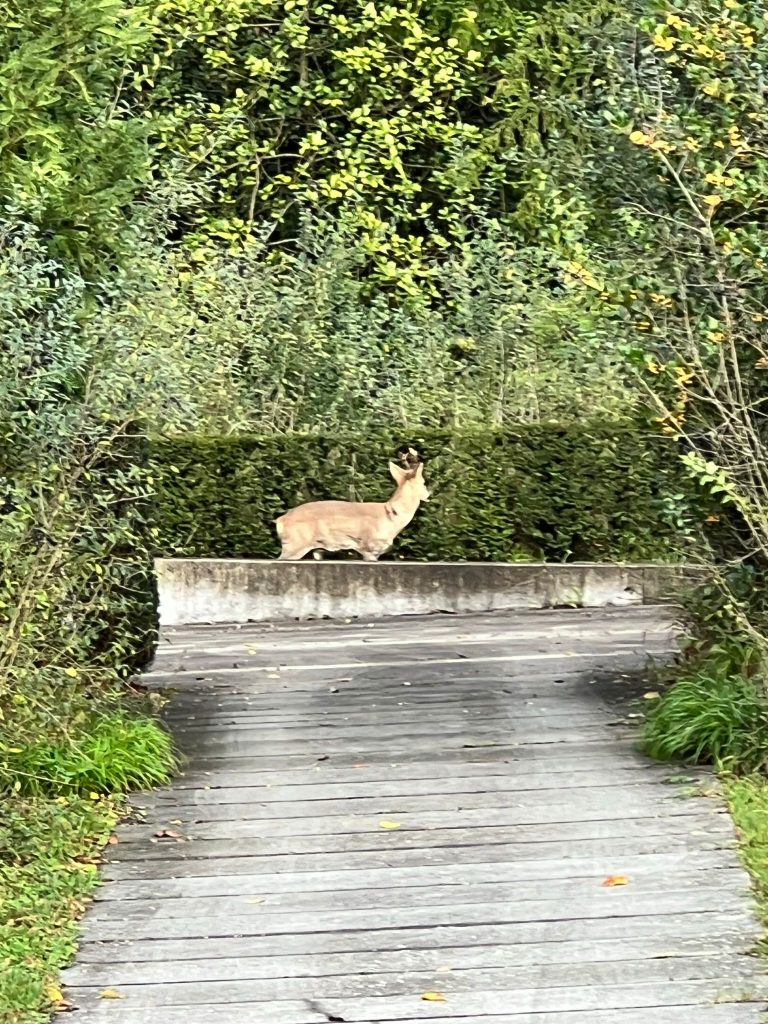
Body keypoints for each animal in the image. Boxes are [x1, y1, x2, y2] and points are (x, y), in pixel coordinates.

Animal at [274, 448, 430, 561]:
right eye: (423, 482)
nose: (428, 494)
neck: (391, 515)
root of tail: (281, 520)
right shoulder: (369, 547)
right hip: (295, 544)